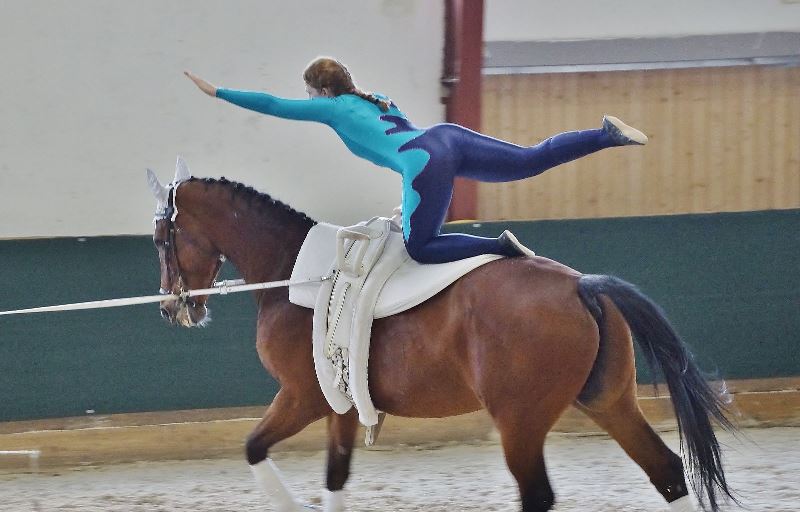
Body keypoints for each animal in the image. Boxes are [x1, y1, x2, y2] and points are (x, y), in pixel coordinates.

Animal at [147, 169, 736, 512]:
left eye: (160, 238)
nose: (173, 307)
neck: (292, 273)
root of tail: (580, 285)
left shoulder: (302, 397)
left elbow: (252, 447)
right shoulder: (341, 406)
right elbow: (335, 477)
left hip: (520, 421)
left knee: (538, 495)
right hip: (609, 402)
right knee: (667, 473)